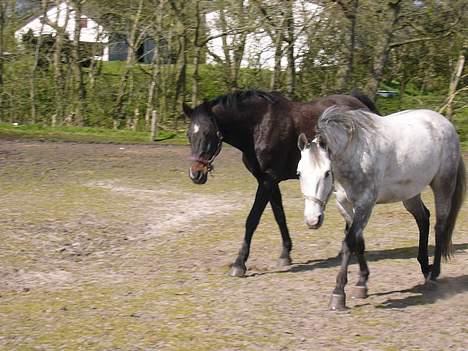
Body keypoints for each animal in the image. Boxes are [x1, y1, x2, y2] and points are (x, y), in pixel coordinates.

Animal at [181, 89, 378, 276]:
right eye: (189, 135)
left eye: (208, 133)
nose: (195, 174)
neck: (258, 126)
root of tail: (359, 103)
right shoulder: (268, 181)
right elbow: (279, 216)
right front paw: (285, 254)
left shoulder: (267, 181)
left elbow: (252, 219)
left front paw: (239, 263)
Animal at [298, 108, 466, 310]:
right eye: (299, 173)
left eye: (326, 173)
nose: (312, 220)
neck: (354, 154)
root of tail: (446, 125)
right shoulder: (344, 205)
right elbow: (358, 242)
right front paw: (362, 283)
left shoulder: (365, 204)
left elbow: (349, 243)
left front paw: (338, 293)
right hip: (410, 194)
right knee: (423, 219)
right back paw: (425, 268)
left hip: (443, 185)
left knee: (439, 226)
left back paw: (434, 275)